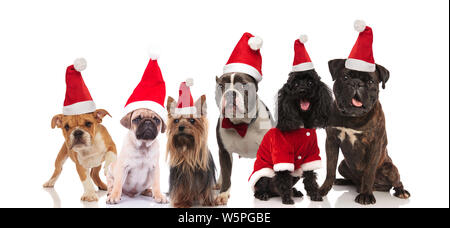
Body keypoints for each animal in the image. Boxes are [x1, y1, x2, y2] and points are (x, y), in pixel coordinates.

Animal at [248, 35, 332, 205]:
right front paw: (287, 198)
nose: (302, 90)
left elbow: (310, 178)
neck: (302, 124)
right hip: (264, 175)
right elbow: (283, 178)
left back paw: (295, 192)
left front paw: (314, 195)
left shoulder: (311, 155)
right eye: (296, 83)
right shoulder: (282, 154)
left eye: (310, 82)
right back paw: (264, 195)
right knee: (263, 187)